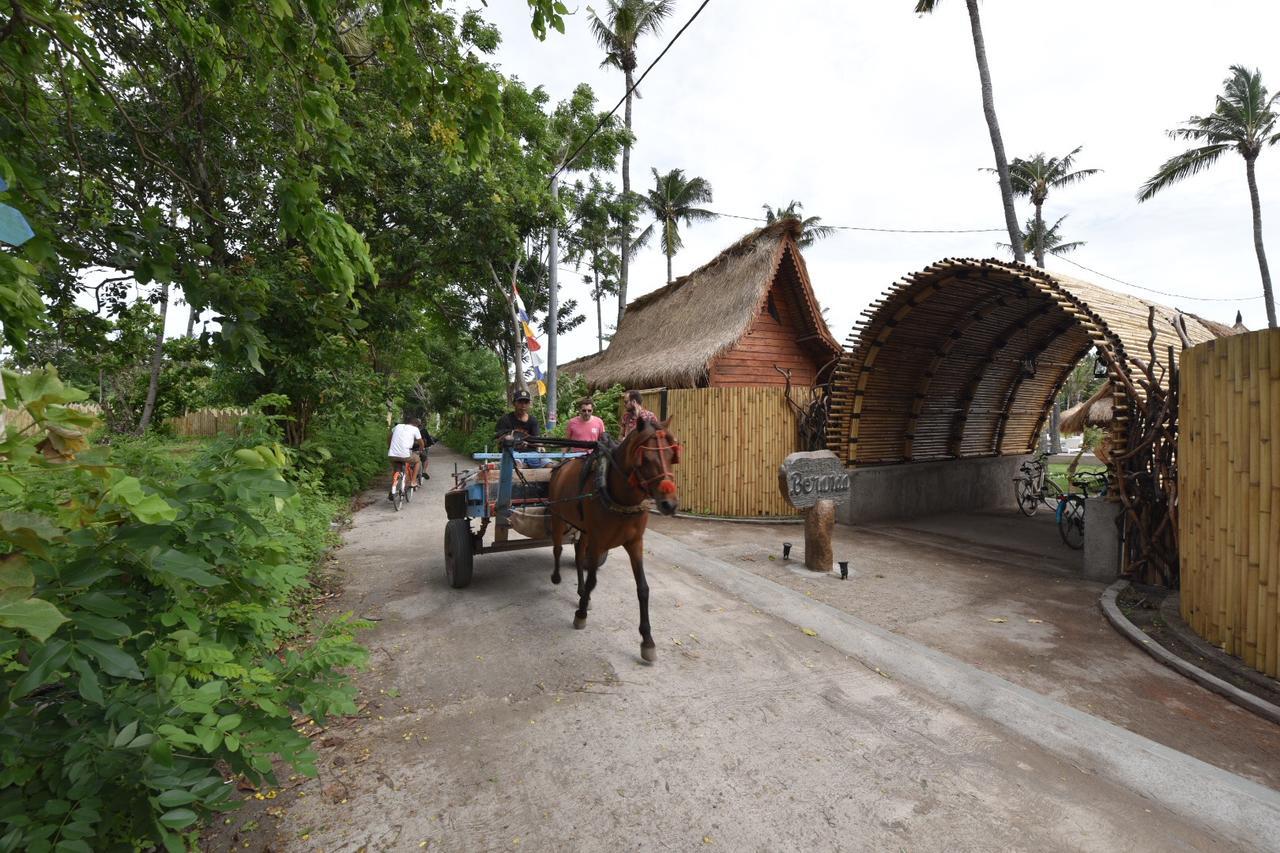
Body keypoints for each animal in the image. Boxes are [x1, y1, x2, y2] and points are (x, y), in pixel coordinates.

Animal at [545, 414, 680, 660]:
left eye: (671, 456)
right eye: (645, 459)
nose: (669, 504)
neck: (621, 498)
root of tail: (560, 466)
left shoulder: (635, 543)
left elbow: (643, 588)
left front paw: (647, 640)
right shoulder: (598, 541)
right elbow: (593, 580)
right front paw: (580, 614)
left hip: (584, 530)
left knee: (578, 555)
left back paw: (581, 593)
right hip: (558, 516)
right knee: (557, 548)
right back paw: (557, 577)